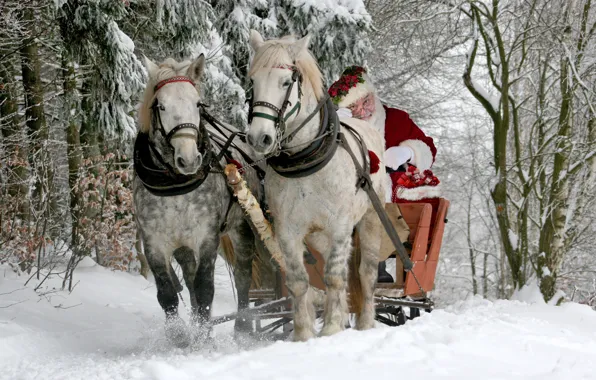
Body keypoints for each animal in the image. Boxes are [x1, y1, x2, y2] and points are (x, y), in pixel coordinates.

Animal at [246, 30, 386, 342]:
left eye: (286, 82)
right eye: (252, 82)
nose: (259, 138)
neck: (306, 159)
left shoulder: (341, 227)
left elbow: (335, 276)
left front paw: (332, 327)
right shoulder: (287, 230)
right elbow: (299, 281)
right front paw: (303, 333)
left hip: (371, 221)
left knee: (366, 273)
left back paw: (365, 323)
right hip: (319, 235)